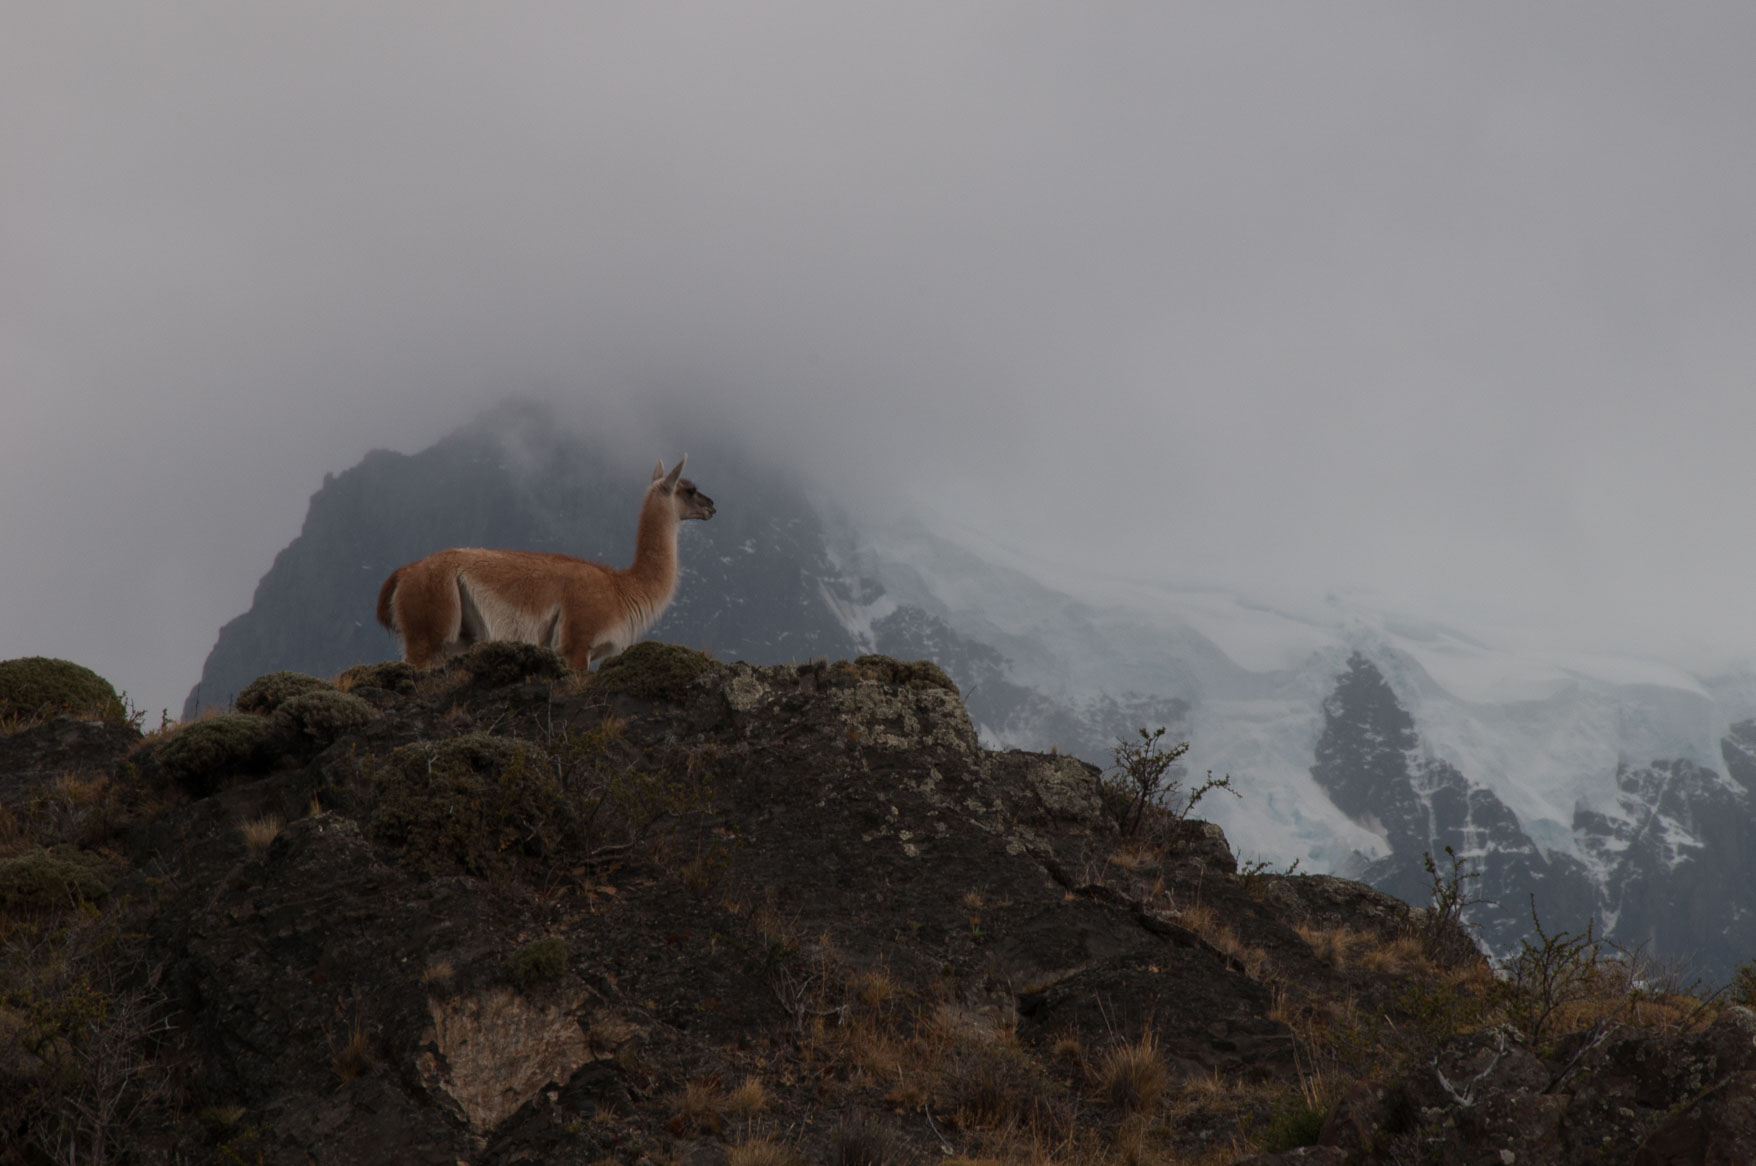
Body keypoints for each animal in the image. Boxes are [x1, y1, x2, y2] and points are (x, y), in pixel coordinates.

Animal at [375, 456, 716, 670]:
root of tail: (404, 572)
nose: (712, 506)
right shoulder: (578, 643)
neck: (621, 587)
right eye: (690, 489)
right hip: (427, 626)